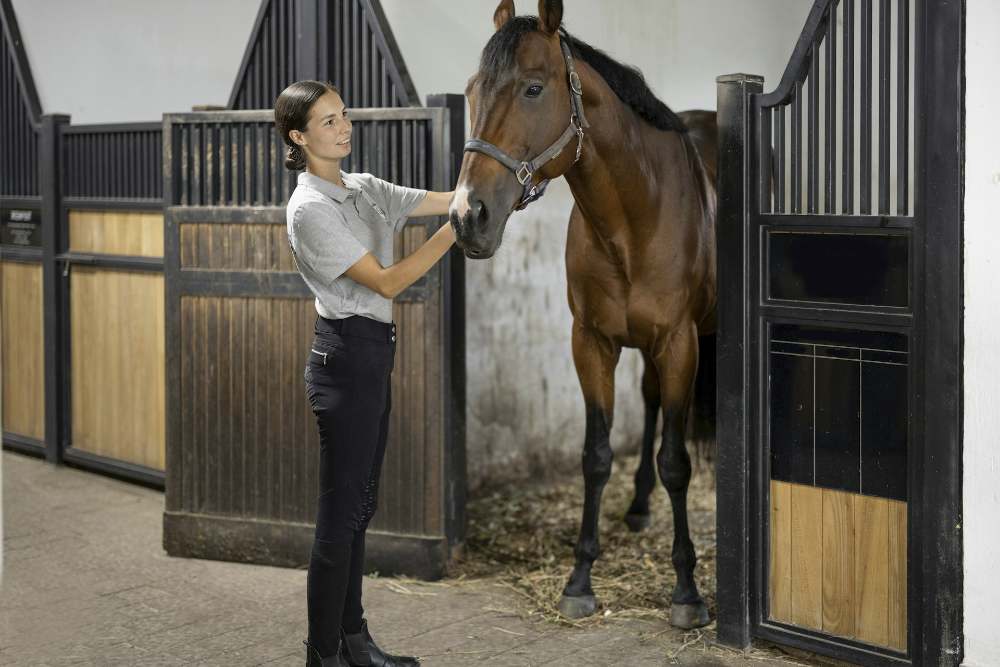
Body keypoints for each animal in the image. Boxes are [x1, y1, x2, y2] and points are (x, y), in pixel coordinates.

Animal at [449, 0, 718, 629]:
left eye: (532, 88)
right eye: (471, 90)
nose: (468, 216)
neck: (635, 216)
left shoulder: (680, 343)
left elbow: (677, 461)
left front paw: (686, 591)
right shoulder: (591, 342)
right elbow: (596, 456)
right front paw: (579, 579)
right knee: (648, 402)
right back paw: (639, 506)